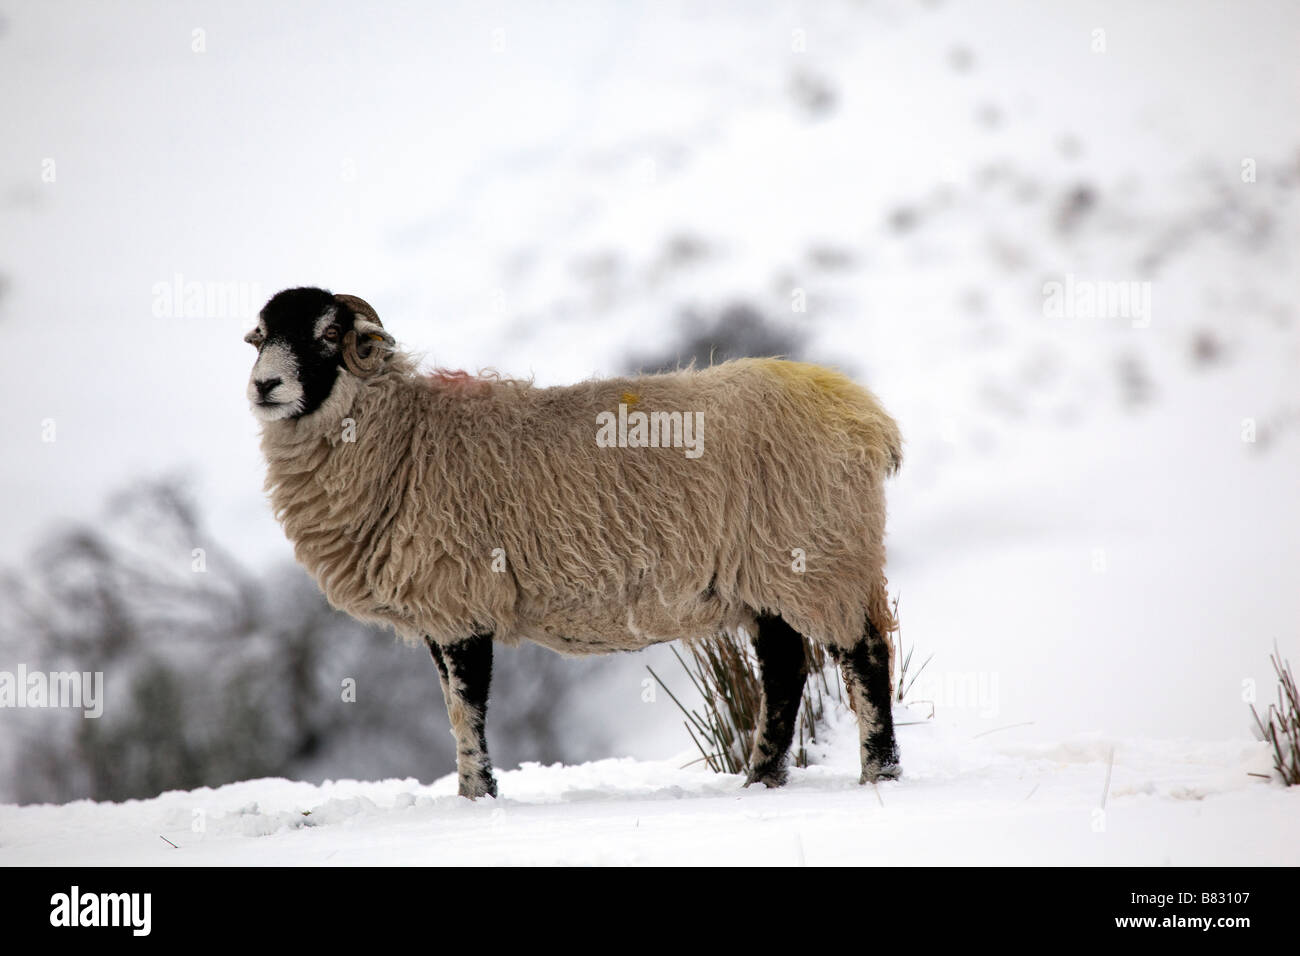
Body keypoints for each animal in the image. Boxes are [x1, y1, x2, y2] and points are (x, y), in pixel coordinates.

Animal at [248, 287, 909, 796]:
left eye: (329, 333)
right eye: (261, 337)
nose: (264, 386)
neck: (404, 437)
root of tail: (868, 417)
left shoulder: (460, 602)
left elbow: (466, 710)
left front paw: (477, 796)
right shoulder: (441, 611)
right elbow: (455, 709)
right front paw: (471, 795)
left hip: (820, 556)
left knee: (866, 655)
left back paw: (878, 774)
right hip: (770, 577)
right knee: (784, 670)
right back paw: (762, 779)